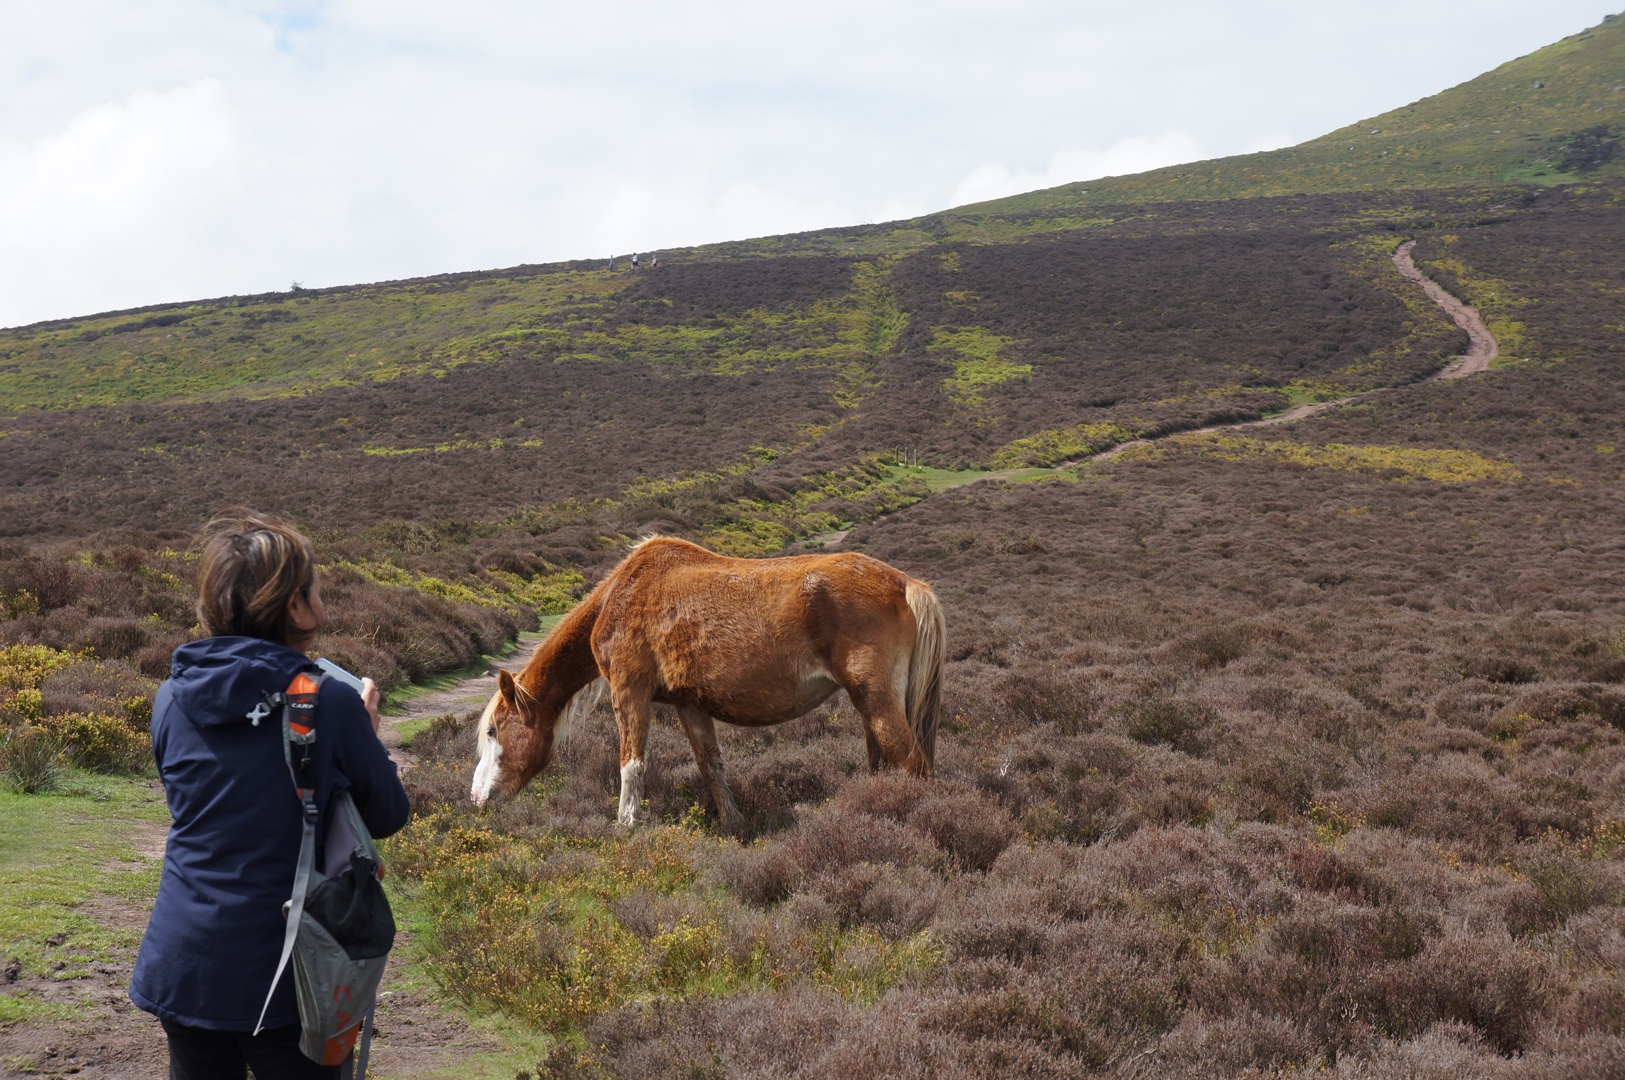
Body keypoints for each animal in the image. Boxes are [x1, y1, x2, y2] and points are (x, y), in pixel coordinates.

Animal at [471, 535, 949, 828]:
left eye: (494, 731)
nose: (477, 799)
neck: (621, 596)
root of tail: (907, 584)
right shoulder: (690, 705)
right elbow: (711, 765)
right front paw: (734, 822)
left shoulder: (630, 692)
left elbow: (631, 764)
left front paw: (625, 826)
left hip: (877, 701)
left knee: (913, 763)